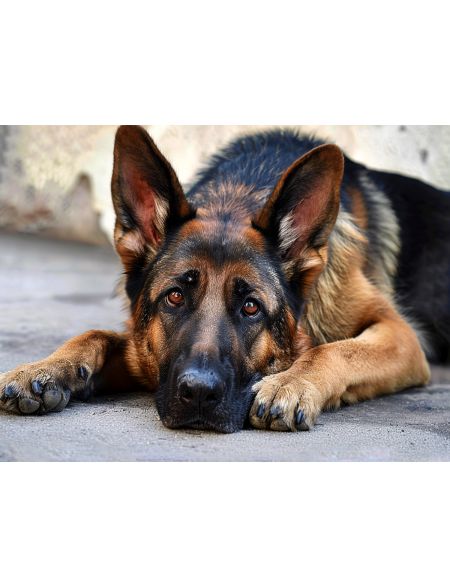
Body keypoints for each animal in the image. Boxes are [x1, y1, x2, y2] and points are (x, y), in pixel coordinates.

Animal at [1, 125, 449, 433]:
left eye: (251, 307)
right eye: (174, 297)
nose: (199, 393)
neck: (238, 195)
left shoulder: (401, 337)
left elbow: (335, 350)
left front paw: (291, 383)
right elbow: (97, 335)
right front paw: (48, 368)